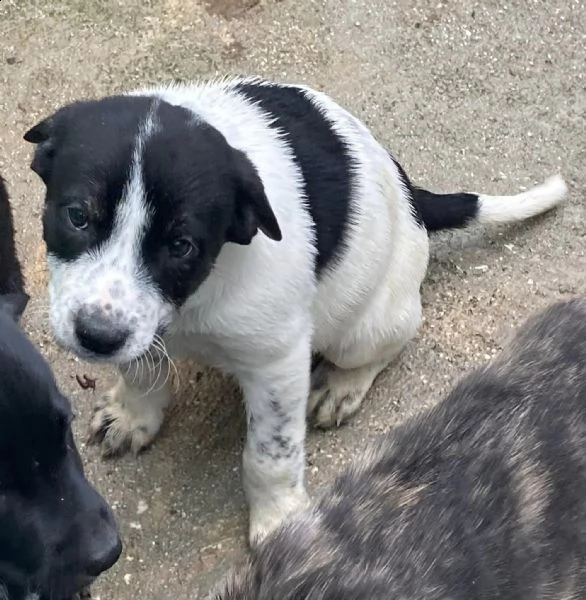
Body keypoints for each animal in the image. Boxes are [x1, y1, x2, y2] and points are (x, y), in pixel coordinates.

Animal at [24, 77, 564, 548]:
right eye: (77, 216)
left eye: (181, 246)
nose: (96, 337)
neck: (197, 298)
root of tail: (412, 196)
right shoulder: (137, 324)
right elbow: (139, 368)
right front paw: (134, 413)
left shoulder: (276, 362)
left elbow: (269, 455)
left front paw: (279, 518)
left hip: (364, 326)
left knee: (389, 342)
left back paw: (342, 385)